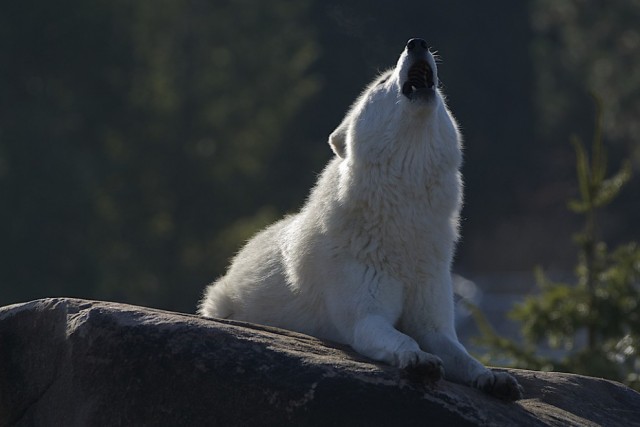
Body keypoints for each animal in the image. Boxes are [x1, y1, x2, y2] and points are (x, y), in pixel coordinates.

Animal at [200, 37, 524, 402]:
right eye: (382, 81)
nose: (417, 42)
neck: (403, 217)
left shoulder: (434, 319)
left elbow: (463, 356)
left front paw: (494, 378)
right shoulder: (365, 316)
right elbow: (403, 338)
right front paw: (419, 360)